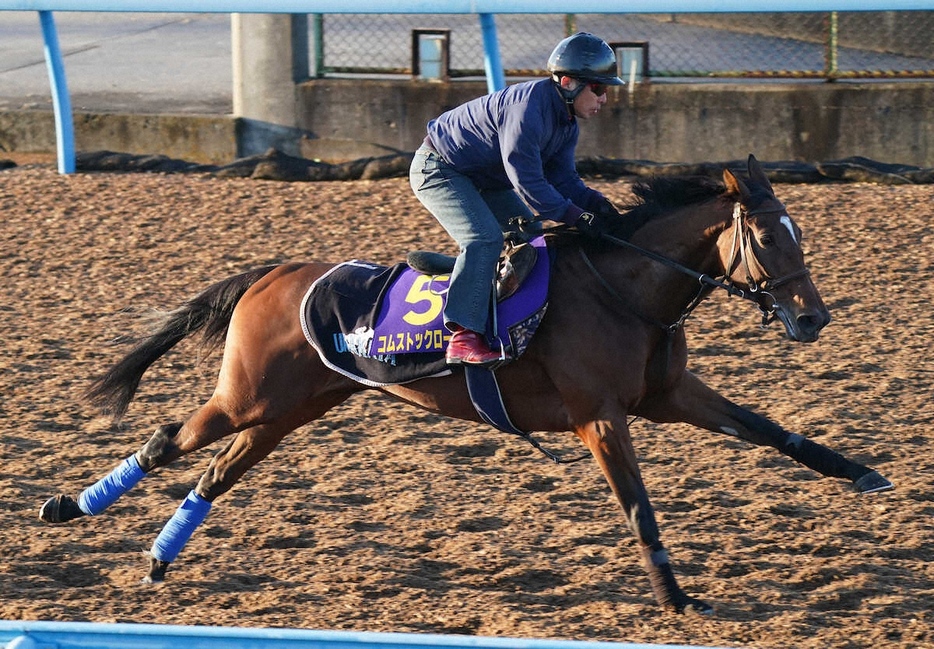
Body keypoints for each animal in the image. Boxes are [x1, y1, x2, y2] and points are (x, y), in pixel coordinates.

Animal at [36, 156, 896, 612]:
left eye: (800, 233)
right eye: (768, 237)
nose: (813, 317)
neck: (622, 286)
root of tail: (271, 274)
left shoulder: (668, 397)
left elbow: (775, 430)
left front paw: (864, 472)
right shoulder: (600, 416)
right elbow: (638, 504)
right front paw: (675, 596)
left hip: (289, 408)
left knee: (216, 470)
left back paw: (157, 557)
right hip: (249, 396)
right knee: (166, 440)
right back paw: (67, 507)